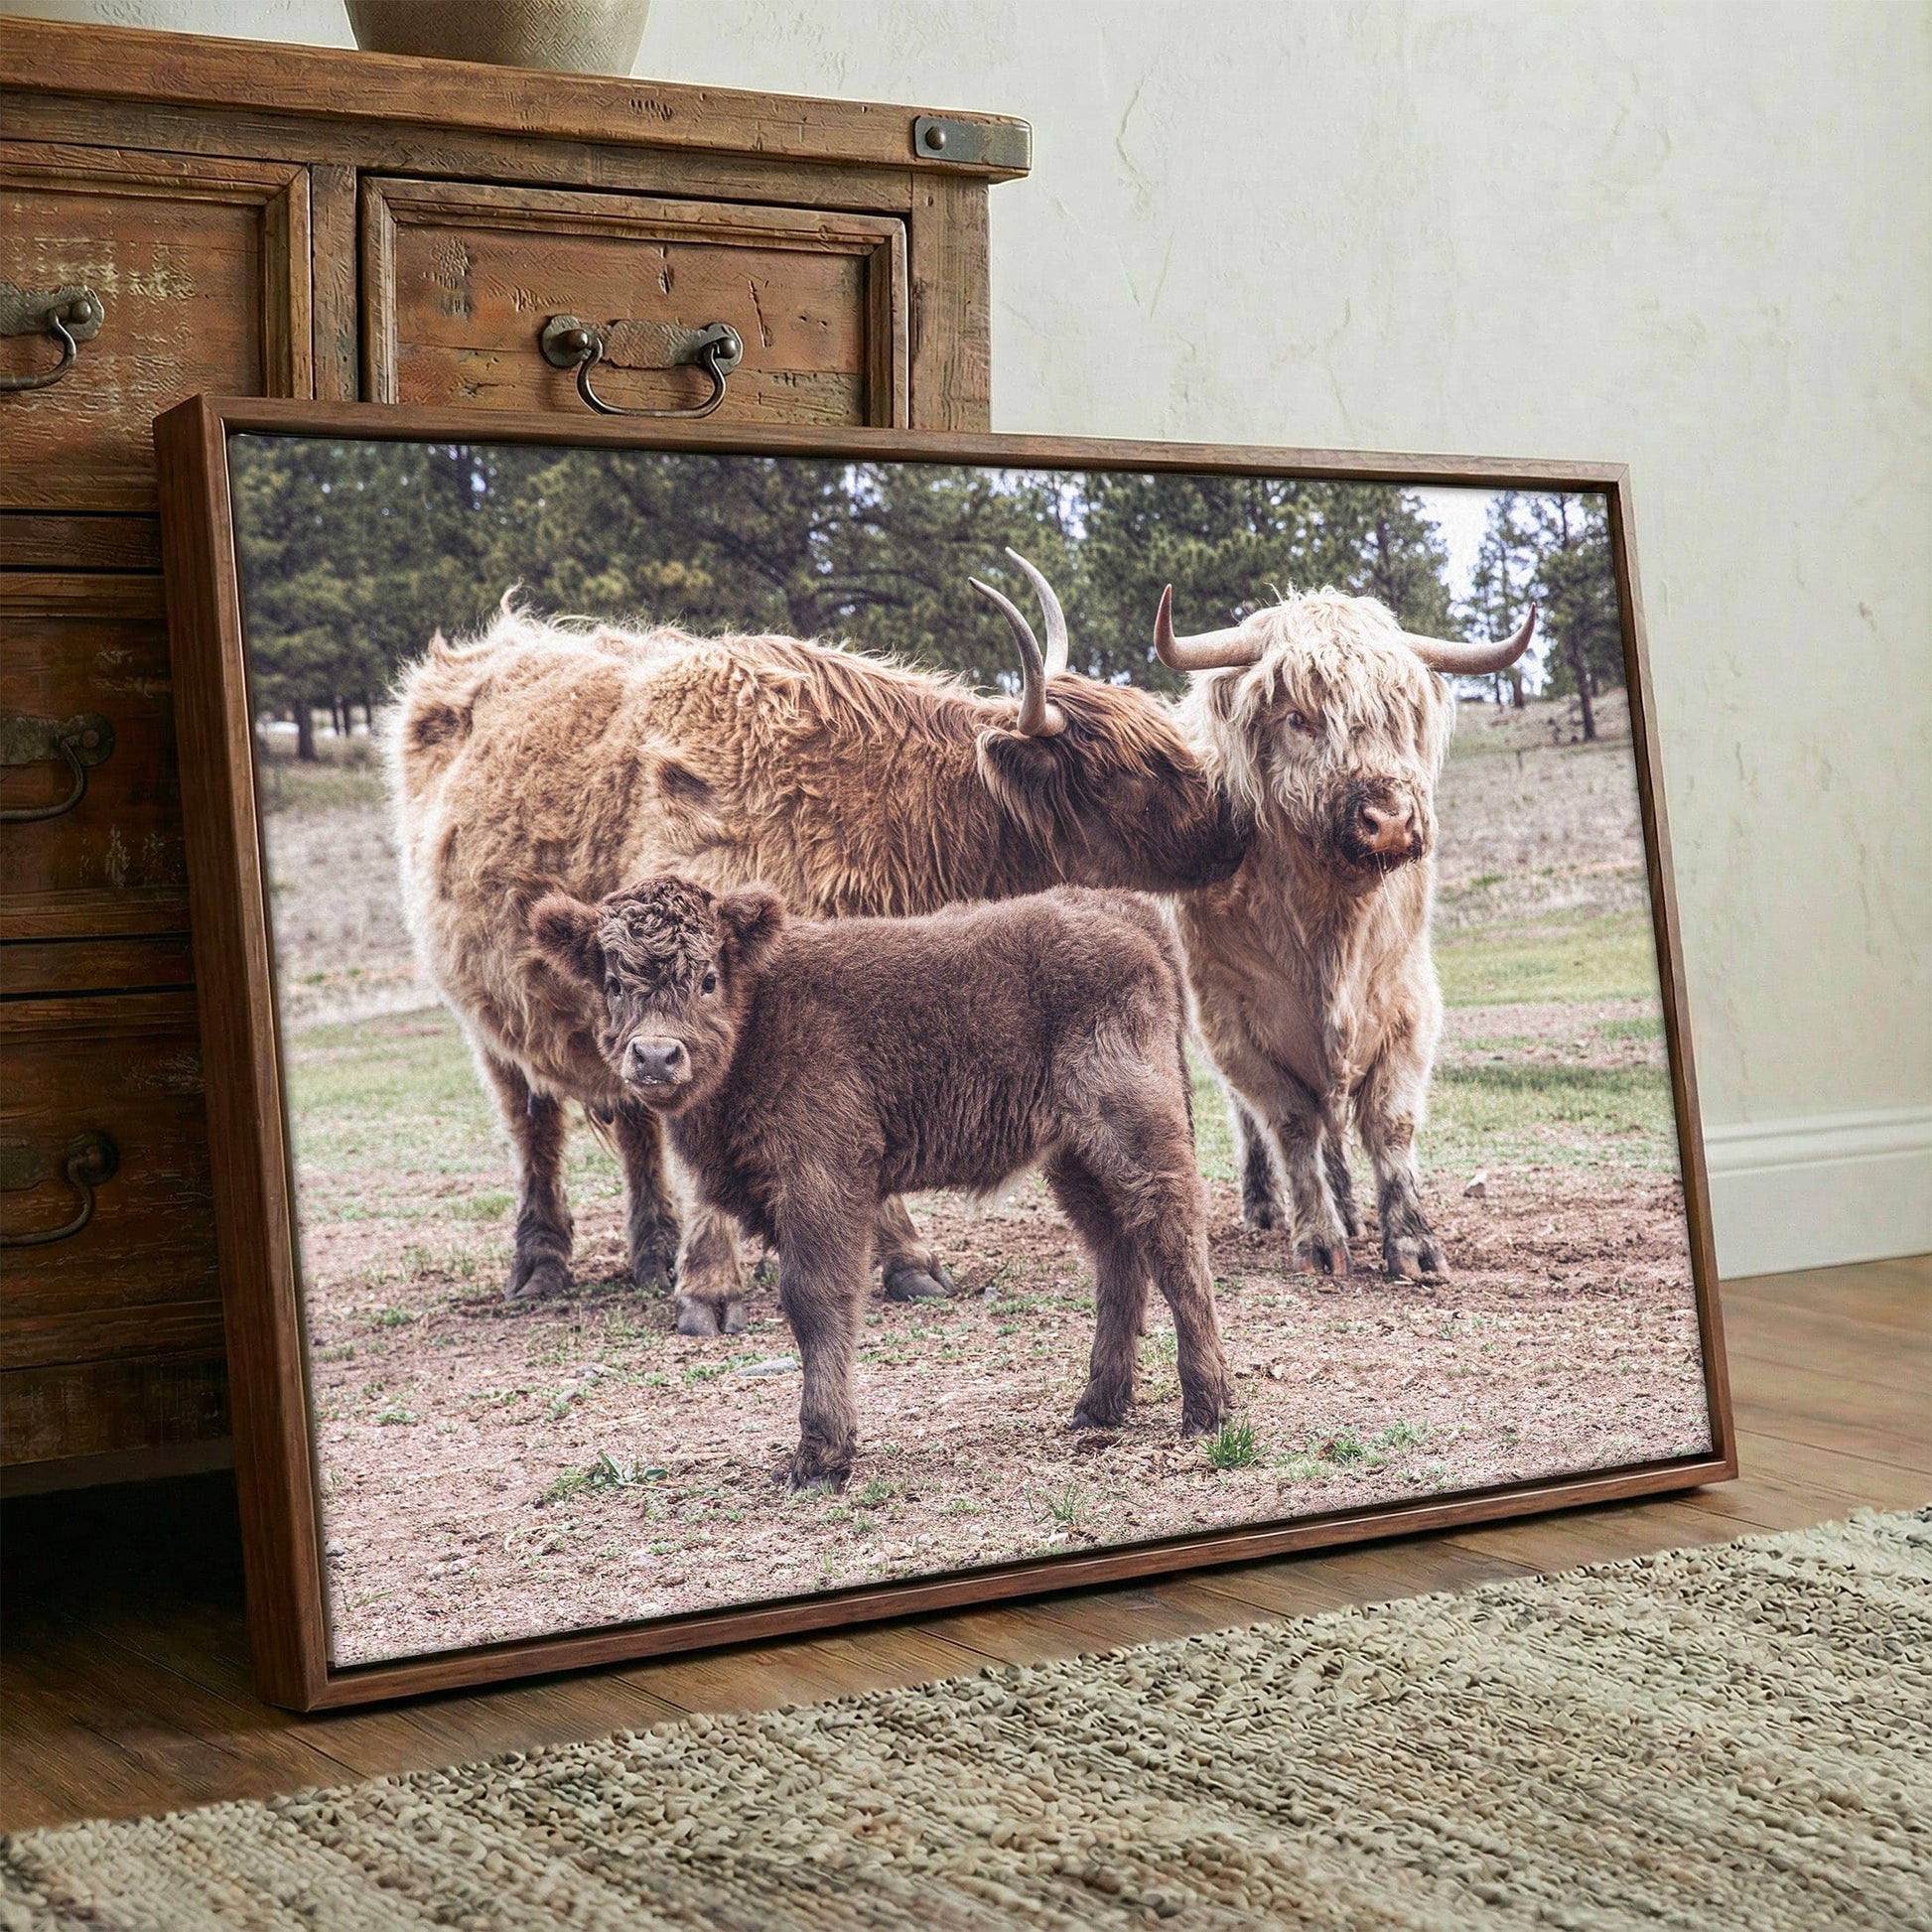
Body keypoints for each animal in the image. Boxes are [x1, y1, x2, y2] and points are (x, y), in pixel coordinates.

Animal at [389, 557, 1247, 1337]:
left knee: (633, 1128)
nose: (1233, 829)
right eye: (1131, 770)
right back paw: (540, 1265)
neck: (869, 804)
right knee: (533, 1126)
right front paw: (709, 1292)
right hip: (494, 1018)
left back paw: (652, 1251)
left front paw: (906, 1262)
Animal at [528, 876, 1233, 1489]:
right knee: (1118, 1253)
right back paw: (1098, 1407)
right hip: (1075, 1158)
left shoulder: (822, 1178)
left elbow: (816, 1299)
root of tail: (1111, 905)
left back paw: (1206, 1409)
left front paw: (820, 1458)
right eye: (613, 982)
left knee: (1174, 1242)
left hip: (1136, 1132)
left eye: (707, 979)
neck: (760, 1013)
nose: (655, 1055)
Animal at [1156, 585, 1537, 1281]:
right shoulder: (1235, 1023)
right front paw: (1317, 1239)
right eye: (1298, 718)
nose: (1389, 820)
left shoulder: (1407, 1008)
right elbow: (1289, 1124)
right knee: (1256, 1120)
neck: (1332, 929)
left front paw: (1412, 1244)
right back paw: (1265, 1207)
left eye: (1400, 714)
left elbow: (1389, 1125)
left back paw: (1354, 1211)